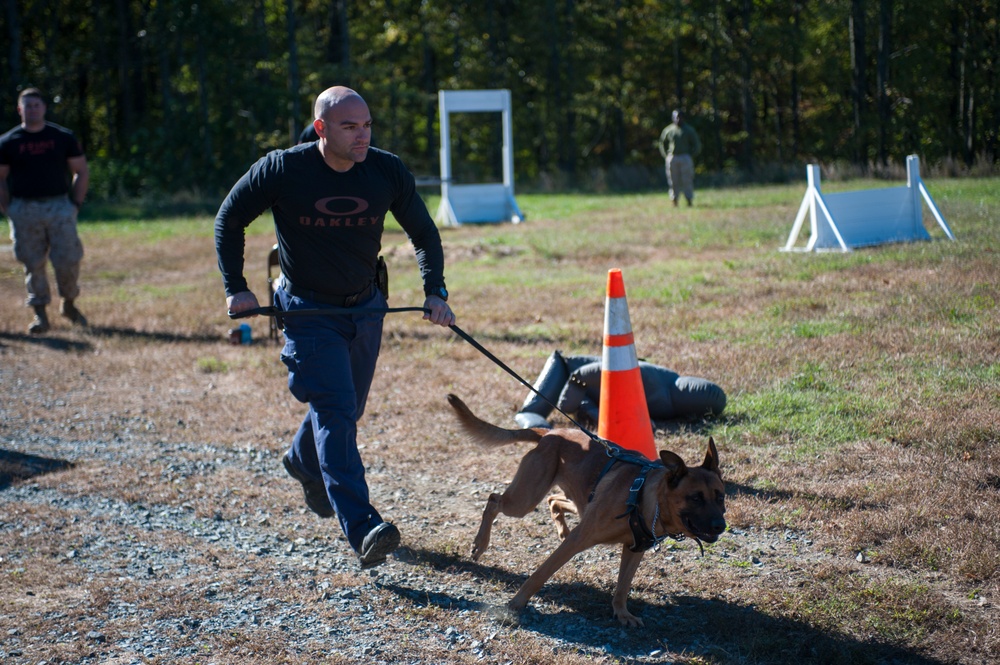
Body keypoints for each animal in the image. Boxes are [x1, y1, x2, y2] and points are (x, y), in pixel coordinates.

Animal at [448, 392, 728, 624]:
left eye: (721, 497)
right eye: (695, 498)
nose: (721, 526)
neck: (646, 499)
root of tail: (549, 434)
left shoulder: (634, 550)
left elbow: (623, 586)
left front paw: (622, 613)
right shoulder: (578, 540)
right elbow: (540, 575)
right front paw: (516, 604)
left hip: (576, 499)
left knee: (553, 500)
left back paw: (560, 527)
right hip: (524, 500)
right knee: (494, 500)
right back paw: (480, 544)